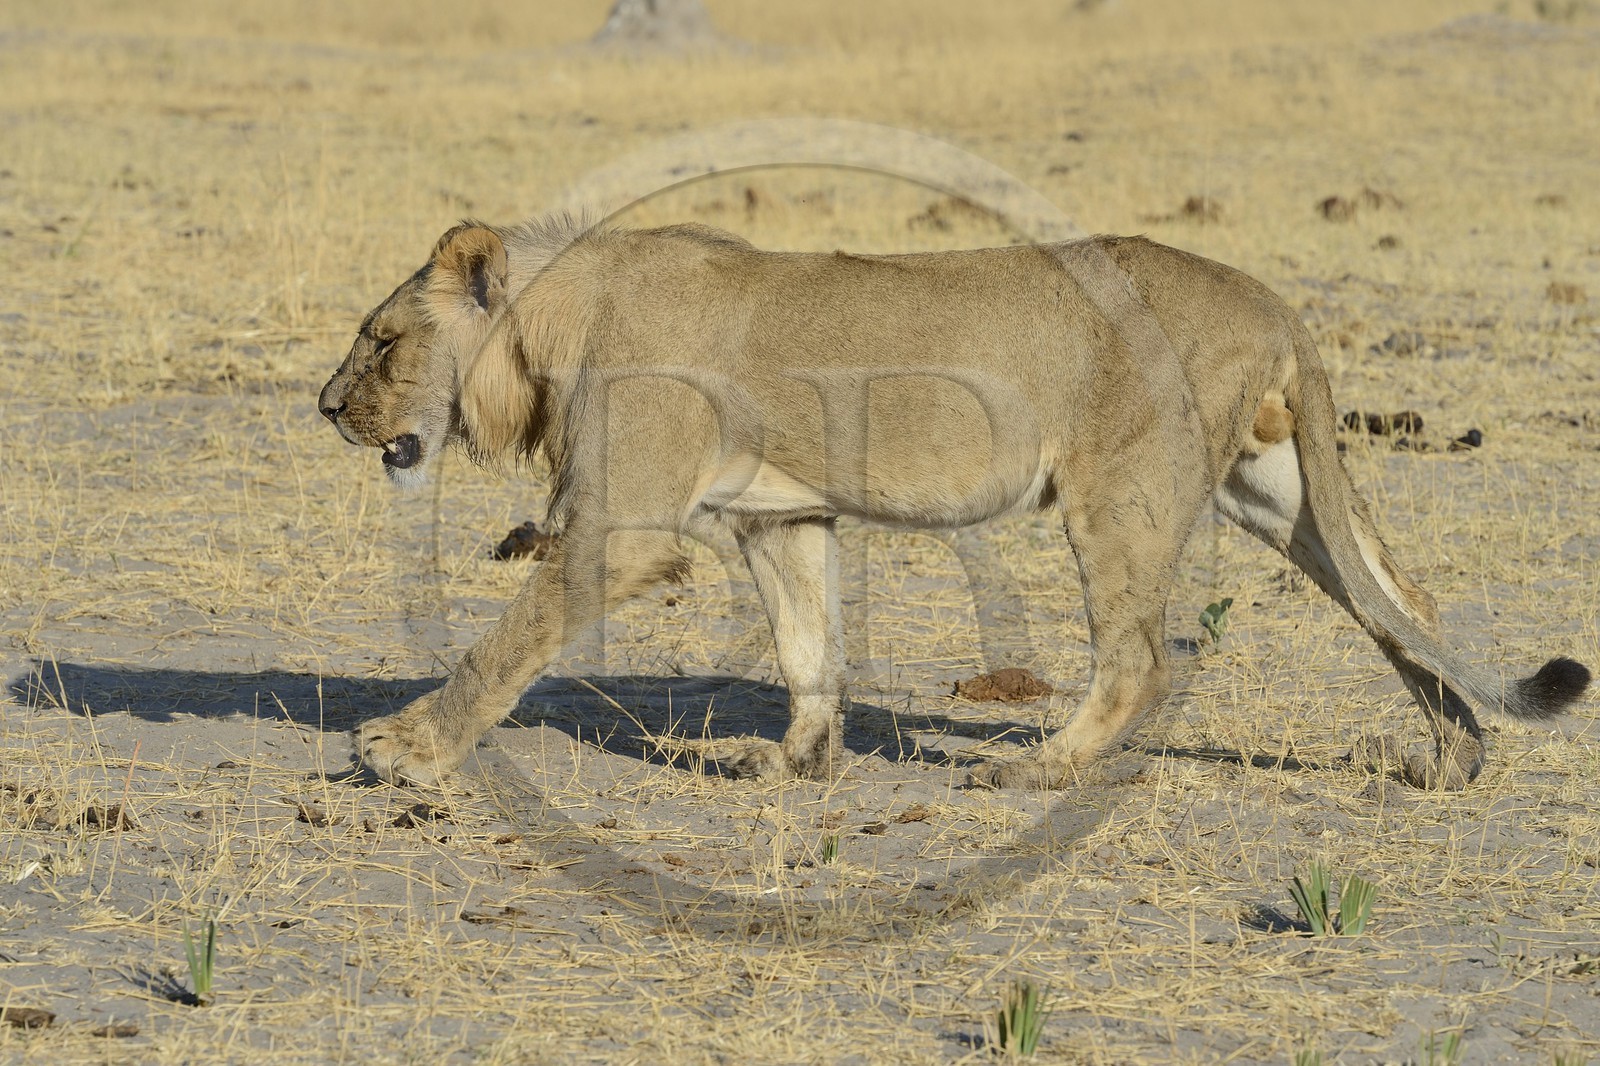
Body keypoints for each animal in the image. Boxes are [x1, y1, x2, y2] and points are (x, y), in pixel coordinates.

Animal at [317, 215, 1590, 791]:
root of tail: (1273, 299)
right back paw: (1452, 752)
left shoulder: (616, 532)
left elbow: (503, 645)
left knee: (1143, 657)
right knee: (1399, 599)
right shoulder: (781, 515)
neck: (552, 326)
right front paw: (796, 763)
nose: (326, 405)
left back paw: (1038, 767)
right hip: (1275, 495)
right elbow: (808, 644)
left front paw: (402, 744)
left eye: (380, 338)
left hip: (1119, 490)